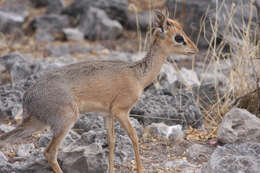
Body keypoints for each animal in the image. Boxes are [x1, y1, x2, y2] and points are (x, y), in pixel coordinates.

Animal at [0, 9, 198, 173]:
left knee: (7, 139)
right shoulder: (121, 111)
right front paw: (141, 169)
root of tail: (27, 97)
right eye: (178, 37)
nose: (194, 49)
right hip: (66, 121)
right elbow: (134, 137)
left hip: (36, 124)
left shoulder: (107, 114)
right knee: (50, 152)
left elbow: (111, 141)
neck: (137, 75)